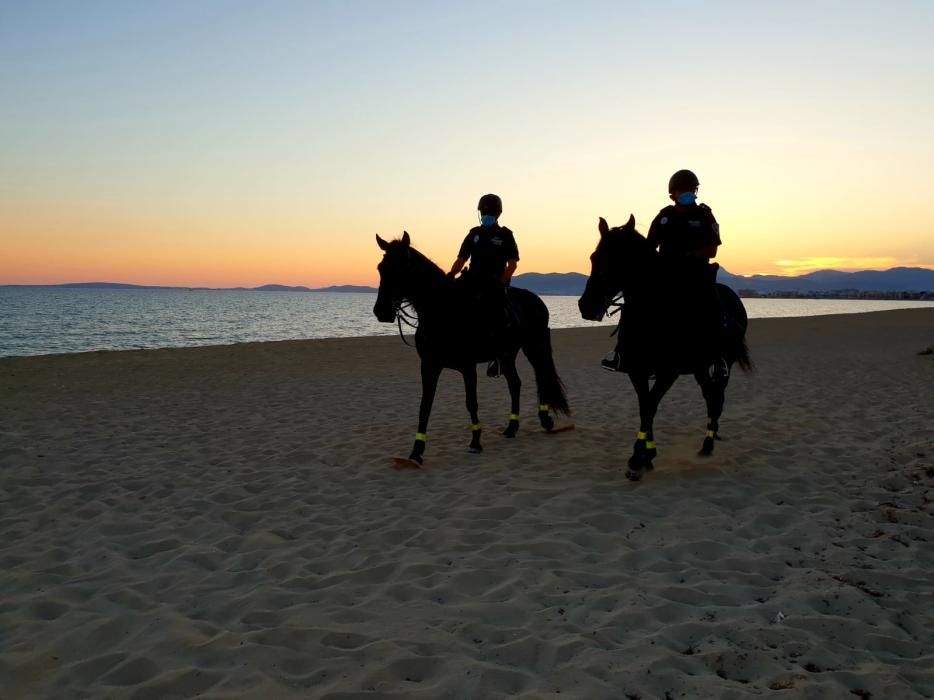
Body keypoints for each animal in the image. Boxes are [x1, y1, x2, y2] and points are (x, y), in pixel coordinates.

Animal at [374, 232, 572, 468]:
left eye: (402, 266)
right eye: (380, 268)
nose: (381, 311)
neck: (443, 312)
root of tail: (537, 300)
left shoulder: (467, 366)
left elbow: (471, 403)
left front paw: (476, 441)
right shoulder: (430, 366)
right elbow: (425, 406)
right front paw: (416, 452)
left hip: (534, 347)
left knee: (541, 377)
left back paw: (545, 419)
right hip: (507, 354)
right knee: (515, 384)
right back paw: (512, 427)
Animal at [576, 216, 752, 482]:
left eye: (620, 258)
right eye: (594, 257)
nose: (587, 305)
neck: (653, 312)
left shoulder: (669, 372)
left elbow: (650, 406)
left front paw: (637, 459)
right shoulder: (636, 369)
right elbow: (644, 406)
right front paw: (647, 454)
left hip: (724, 362)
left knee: (716, 398)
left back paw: (708, 444)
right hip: (700, 367)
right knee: (710, 395)